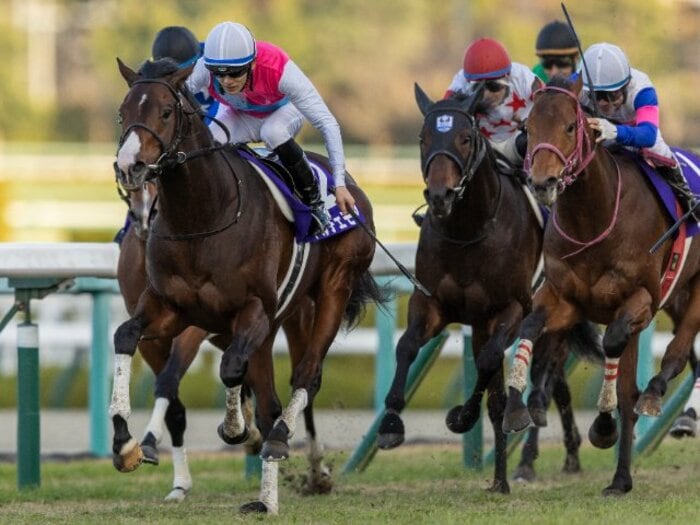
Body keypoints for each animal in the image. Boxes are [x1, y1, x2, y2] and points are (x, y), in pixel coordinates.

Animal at [111, 57, 383, 514]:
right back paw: (267, 493)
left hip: (326, 295)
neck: (203, 216)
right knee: (272, 400)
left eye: (165, 111)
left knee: (306, 378)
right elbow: (126, 337)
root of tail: (351, 187)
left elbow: (230, 369)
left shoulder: (250, 312)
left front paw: (238, 429)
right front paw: (126, 443)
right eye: (123, 111)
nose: (130, 165)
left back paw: (286, 459)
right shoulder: (170, 308)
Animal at [376, 84, 602, 493]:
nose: (440, 195)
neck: (470, 230)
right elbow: (407, 346)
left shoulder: (511, 309)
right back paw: (506, 475)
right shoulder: (432, 303)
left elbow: (488, 364)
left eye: (465, 138)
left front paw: (463, 417)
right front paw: (390, 423)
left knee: (542, 375)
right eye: (423, 137)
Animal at [503, 75, 700, 495]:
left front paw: (605, 426)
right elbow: (530, 328)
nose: (543, 182)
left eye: (570, 126)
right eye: (528, 129)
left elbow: (615, 356)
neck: (593, 218)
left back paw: (660, 403)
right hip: (675, 299)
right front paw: (516, 409)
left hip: (693, 292)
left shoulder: (639, 300)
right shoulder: (565, 299)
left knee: (677, 352)